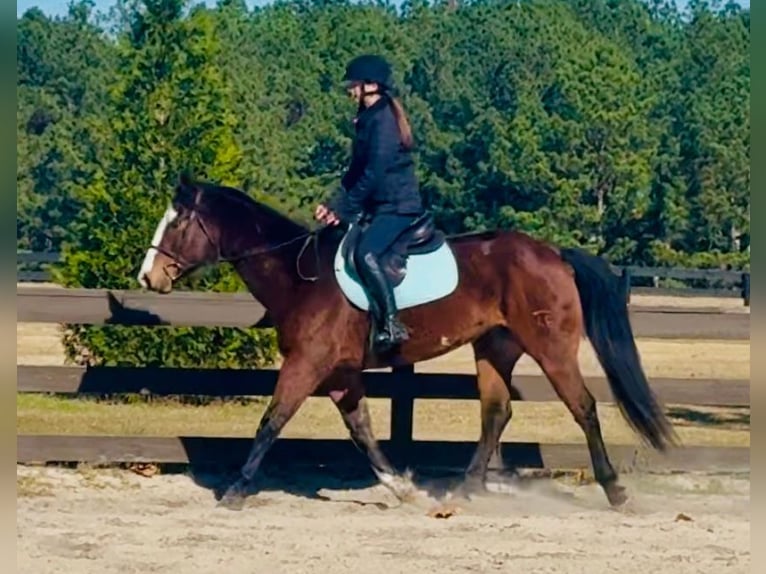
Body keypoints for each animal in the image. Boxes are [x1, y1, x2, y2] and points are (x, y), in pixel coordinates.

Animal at [137, 173, 677, 511]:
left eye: (177, 221)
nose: (147, 277)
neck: (298, 273)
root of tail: (554, 254)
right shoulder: (340, 374)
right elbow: (362, 430)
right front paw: (402, 488)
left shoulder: (307, 364)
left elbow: (272, 421)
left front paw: (235, 490)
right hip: (494, 347)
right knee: (496, 412)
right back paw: (463, 490)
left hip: (551, 347)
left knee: (582, 406)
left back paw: (614, 491)